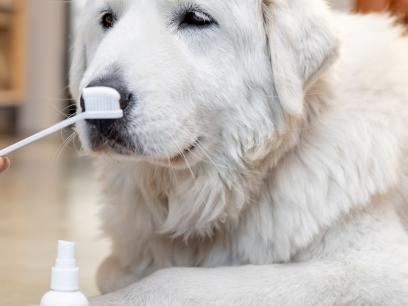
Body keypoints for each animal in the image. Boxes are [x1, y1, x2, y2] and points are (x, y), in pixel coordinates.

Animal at [69, 0, 408, 304]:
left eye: (197, 18)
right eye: (107, 20)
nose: (94, 102)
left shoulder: (374, 269)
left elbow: (169, 282)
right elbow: (110, 270)